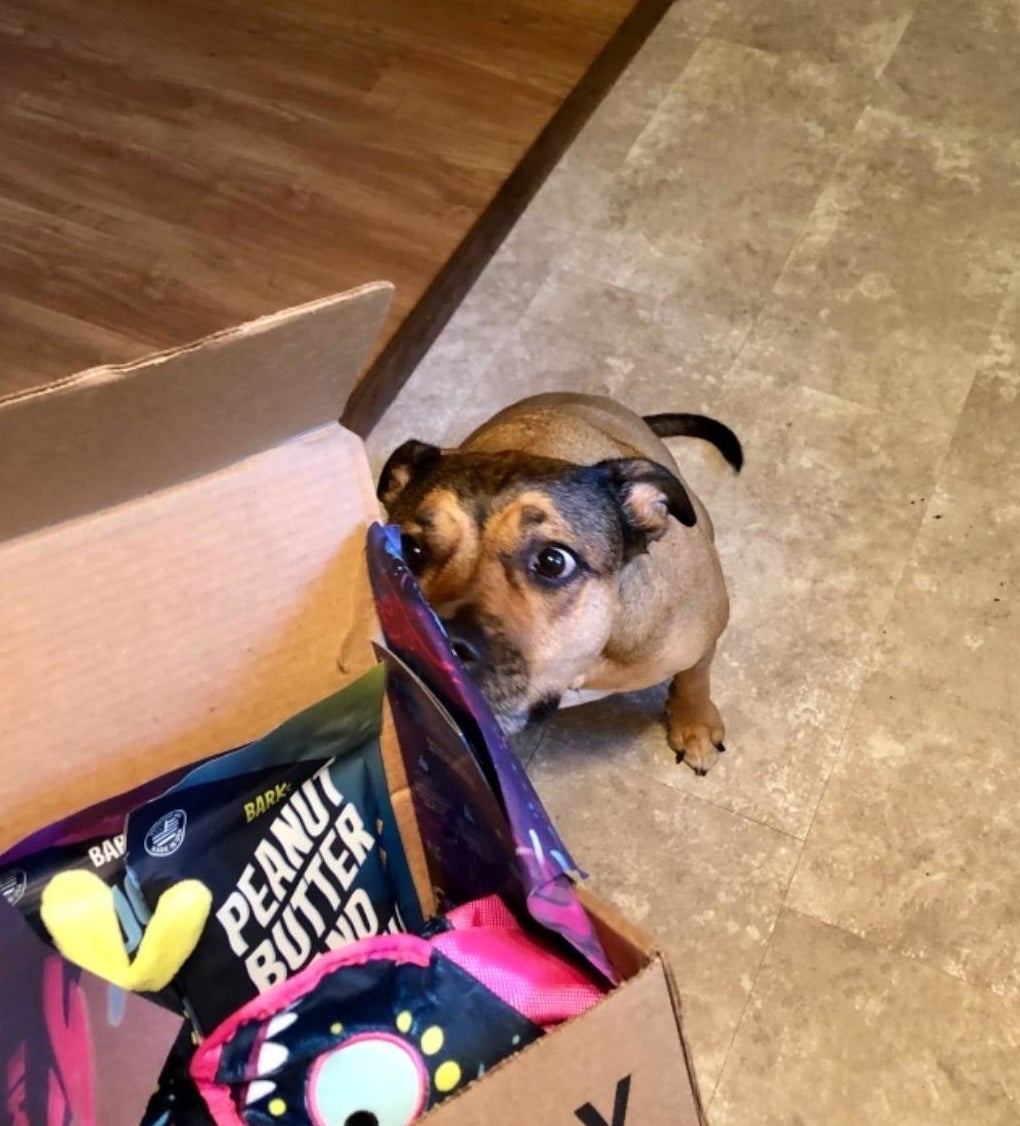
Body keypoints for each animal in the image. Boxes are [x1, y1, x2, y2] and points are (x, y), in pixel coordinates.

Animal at [373, 394, 738, 774]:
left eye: (553, 561)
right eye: (409, 549)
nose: (436, 642)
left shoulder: (702, 632)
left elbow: (695, 678)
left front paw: (694, 726)